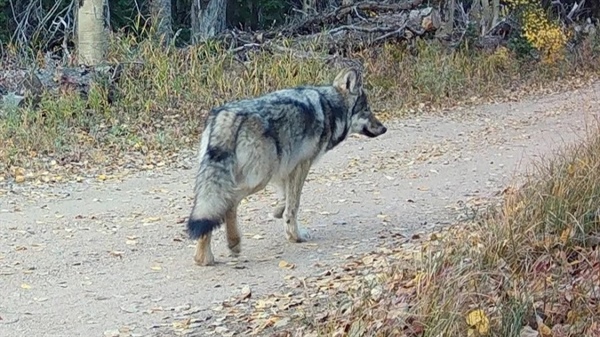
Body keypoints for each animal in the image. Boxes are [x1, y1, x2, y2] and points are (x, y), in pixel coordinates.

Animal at [185, 67, 386, 266]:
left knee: (210, 212)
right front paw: (296, 236)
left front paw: (278, 212)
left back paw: (203, 257)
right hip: (259, 179)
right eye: (367, 110)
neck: (330, 107)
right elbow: (293, 205)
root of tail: (226, 115)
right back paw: (233, 244)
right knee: (229, 203)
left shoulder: (284, 169)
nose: (384, 128)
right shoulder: (301, 164)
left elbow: (285, 198)